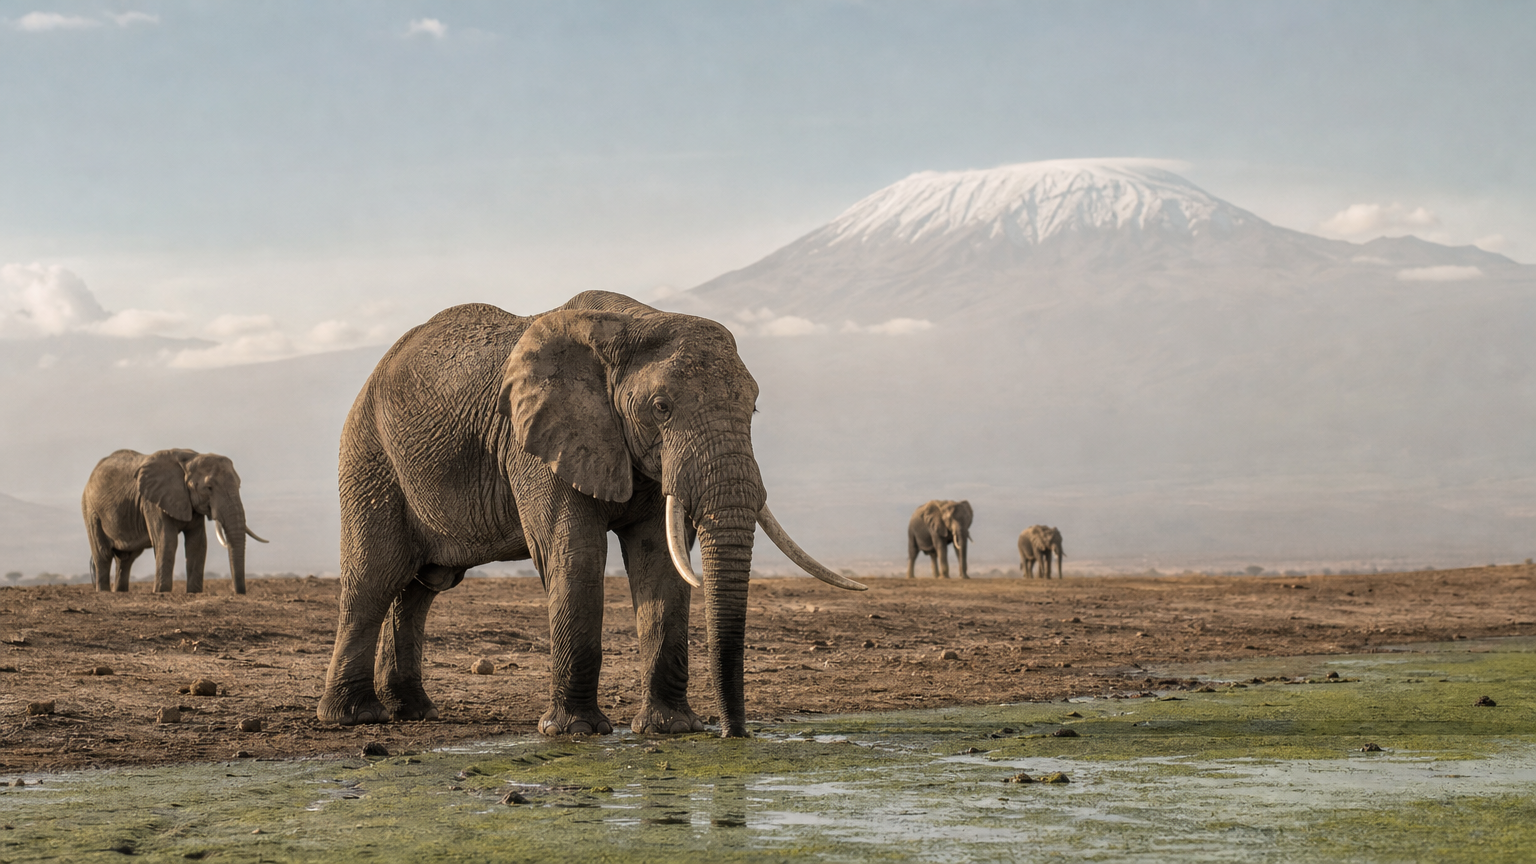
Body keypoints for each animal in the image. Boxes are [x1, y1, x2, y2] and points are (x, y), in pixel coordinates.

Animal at [81, 449, 268, 594]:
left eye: (239, 485)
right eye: (209, 488)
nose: (239, 592)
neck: (190, 459)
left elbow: (198, 543)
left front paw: (193, 592)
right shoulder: (152, 502)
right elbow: (167, 540)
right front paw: (161, 592)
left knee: (126, 558)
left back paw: (120, 592)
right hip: (91, 510)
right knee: (103, 553)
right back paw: (104, 592)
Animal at [318, 292, 864, 739]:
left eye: (753, 408)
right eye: (661, 407)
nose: (734, 733)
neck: (633, 324)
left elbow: (660, 562)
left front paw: (672, 729)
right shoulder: (536, 442)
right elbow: (574, 554)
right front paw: (575, 731)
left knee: (420, 589)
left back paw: (415, 712)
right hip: (370, 455)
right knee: (374, 579)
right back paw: (356, 718)